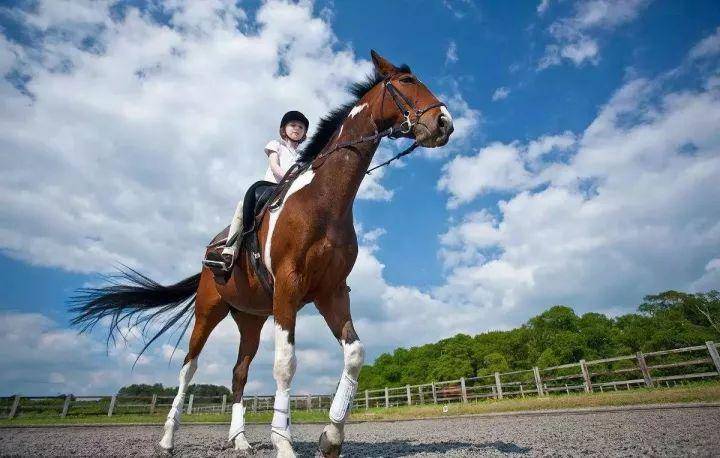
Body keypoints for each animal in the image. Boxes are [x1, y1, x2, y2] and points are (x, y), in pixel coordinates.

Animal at [70, 51, 452, 458]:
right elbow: (285, 364)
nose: (445, 123)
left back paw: (239, 441)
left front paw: (330, 438)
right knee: (188, 369)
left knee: (239, 373)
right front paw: (282, 442)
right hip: (208, 311)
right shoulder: (288, 287)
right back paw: (167, 439)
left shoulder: (331, 293)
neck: (322, 201)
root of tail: (208, 257)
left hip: (250, 320)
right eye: (408, 82)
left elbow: (355, 354)